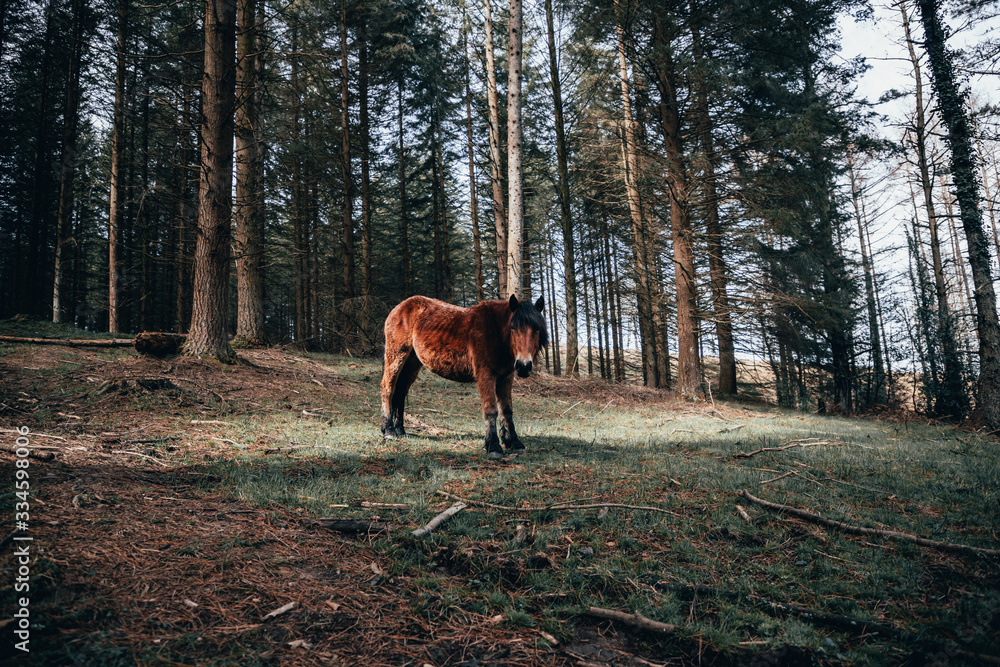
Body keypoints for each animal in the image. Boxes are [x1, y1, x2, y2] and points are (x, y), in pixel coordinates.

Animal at [380, 294, 547, 459]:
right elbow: (491, 410)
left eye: (537, 329)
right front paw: (493, 445)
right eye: (513, 328)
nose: (524, 366)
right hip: (396, 355)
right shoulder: (486, 375)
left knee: (400, 392)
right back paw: (388, 430)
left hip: (412, 362)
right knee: (388, 389)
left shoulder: (506, 377)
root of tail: (399, 307)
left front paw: (513, 442)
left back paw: (400, 430)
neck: (495, 331)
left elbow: (507, 410)